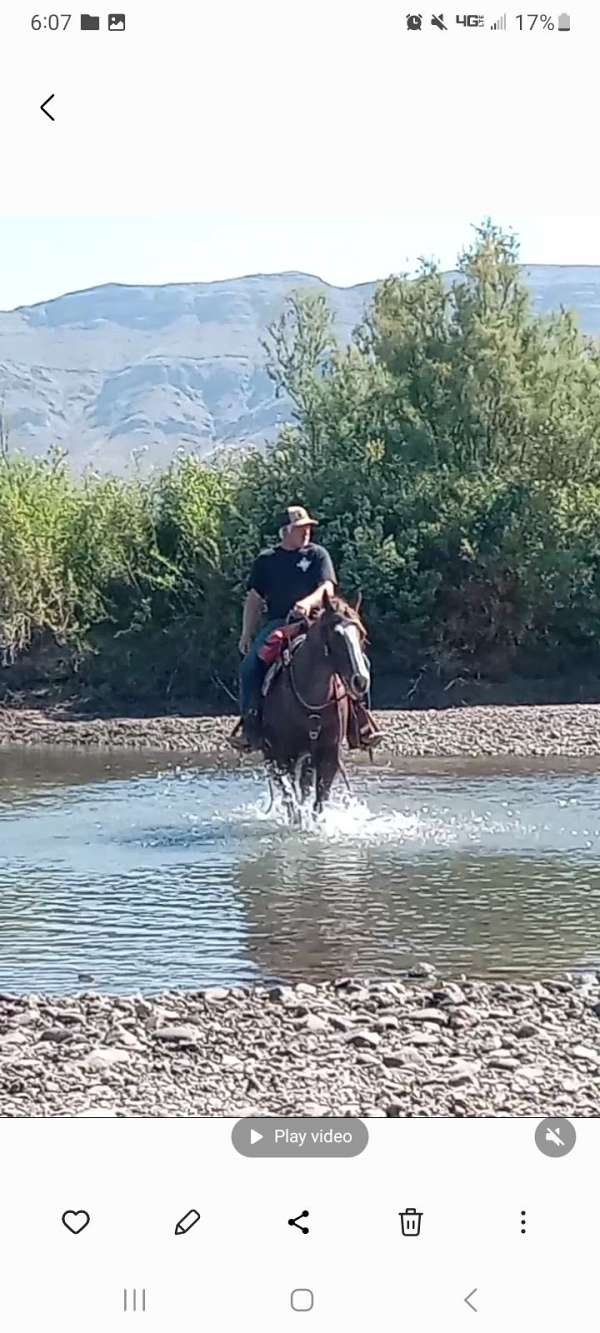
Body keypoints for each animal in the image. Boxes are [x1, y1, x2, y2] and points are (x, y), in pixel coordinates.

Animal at [261, 591, 370, 815]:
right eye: (336, 634)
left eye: (361, 634)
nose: (361, 680)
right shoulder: (282, 755)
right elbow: (290, 799)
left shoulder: (328, 755)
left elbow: (319, 801)